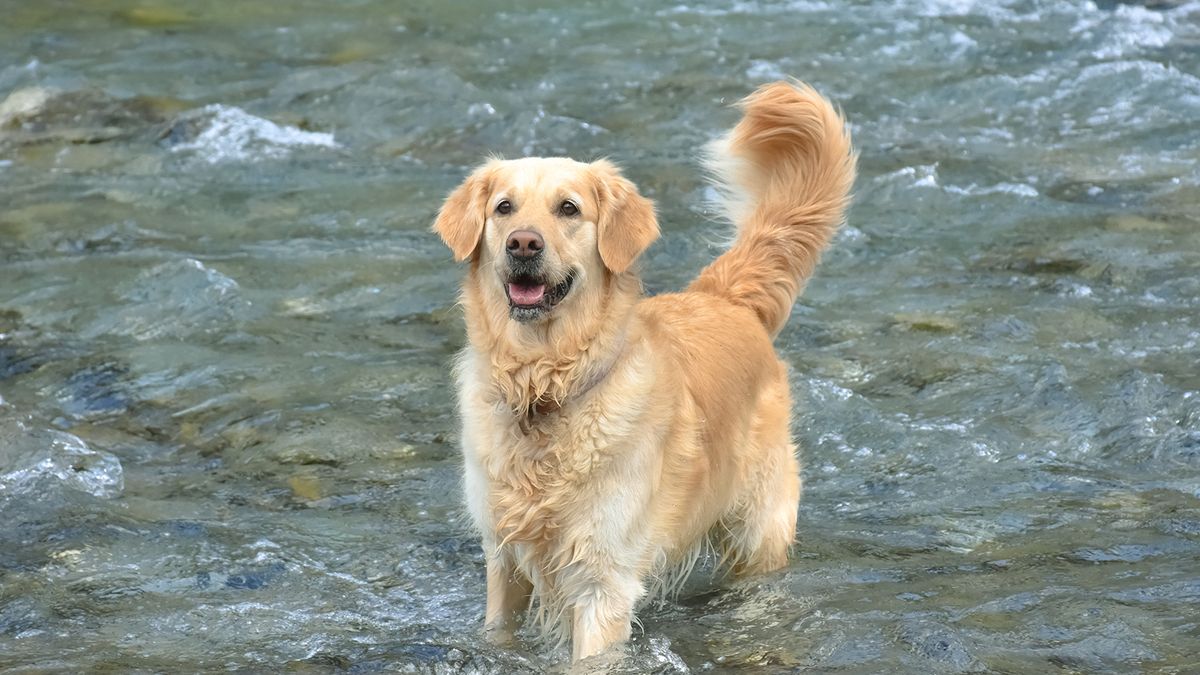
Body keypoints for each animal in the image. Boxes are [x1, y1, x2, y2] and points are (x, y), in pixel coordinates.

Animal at [432, 79, 854, 662]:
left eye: (569, 208)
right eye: (503, 207)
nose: (523, 243)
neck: (546, 387)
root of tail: (724, 298)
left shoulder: (602, 580)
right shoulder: (503, 557)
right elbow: (498, 632)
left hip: (757, 530)